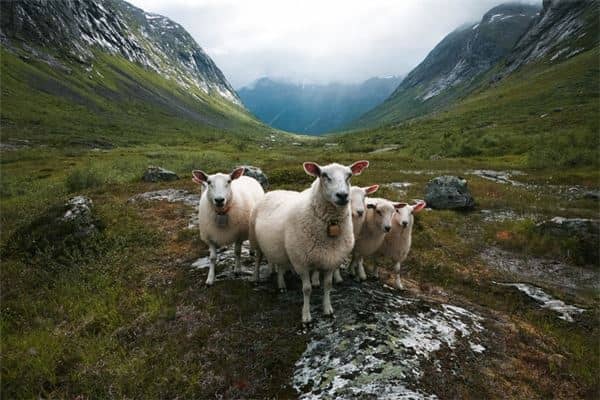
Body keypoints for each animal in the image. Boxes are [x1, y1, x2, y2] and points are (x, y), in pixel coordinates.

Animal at [250, 161, 370, 324]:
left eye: (349, 175)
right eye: (324, 175)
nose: (343, 195)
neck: (331, 224)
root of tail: (273, 191)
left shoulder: (330, 259)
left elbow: (328, 285)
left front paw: (328, 309)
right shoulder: (301, 262)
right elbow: (307, 289)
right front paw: (306, 316)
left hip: (283, 248)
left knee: (280, 266)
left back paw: (281, 285)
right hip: (256, 240)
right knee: (257, 259)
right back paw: (256, 278)